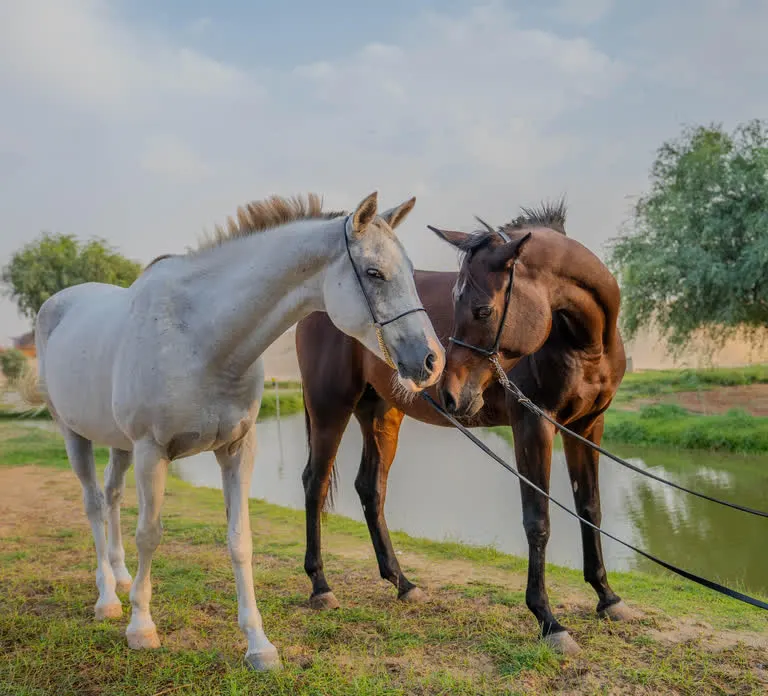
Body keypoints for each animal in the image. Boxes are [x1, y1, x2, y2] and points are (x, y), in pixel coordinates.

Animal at [21, 191, 445, 671]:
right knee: (94, 505)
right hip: (76, 435)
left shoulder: (238, 449)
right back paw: (108, 598)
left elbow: (240, 541)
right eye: (374, 272)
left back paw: (122, 577)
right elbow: (150, 533)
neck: (201, 339)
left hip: (118, 445)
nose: (432, 361)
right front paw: (141, 627)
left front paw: (259, 645)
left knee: (111, 498)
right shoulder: (152, 452)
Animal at [296, 202, 635, 655]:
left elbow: (590, 509)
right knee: (315, 484)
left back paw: (403, 583)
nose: (450, 393)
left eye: (482, 310)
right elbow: (538, 520)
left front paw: (607, 596)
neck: (582, 341)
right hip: (329, 407)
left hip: (381, 413)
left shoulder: (587, 426)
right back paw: (321, 586)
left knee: (370, 488)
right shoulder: (533, 425)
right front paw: (549, 620)